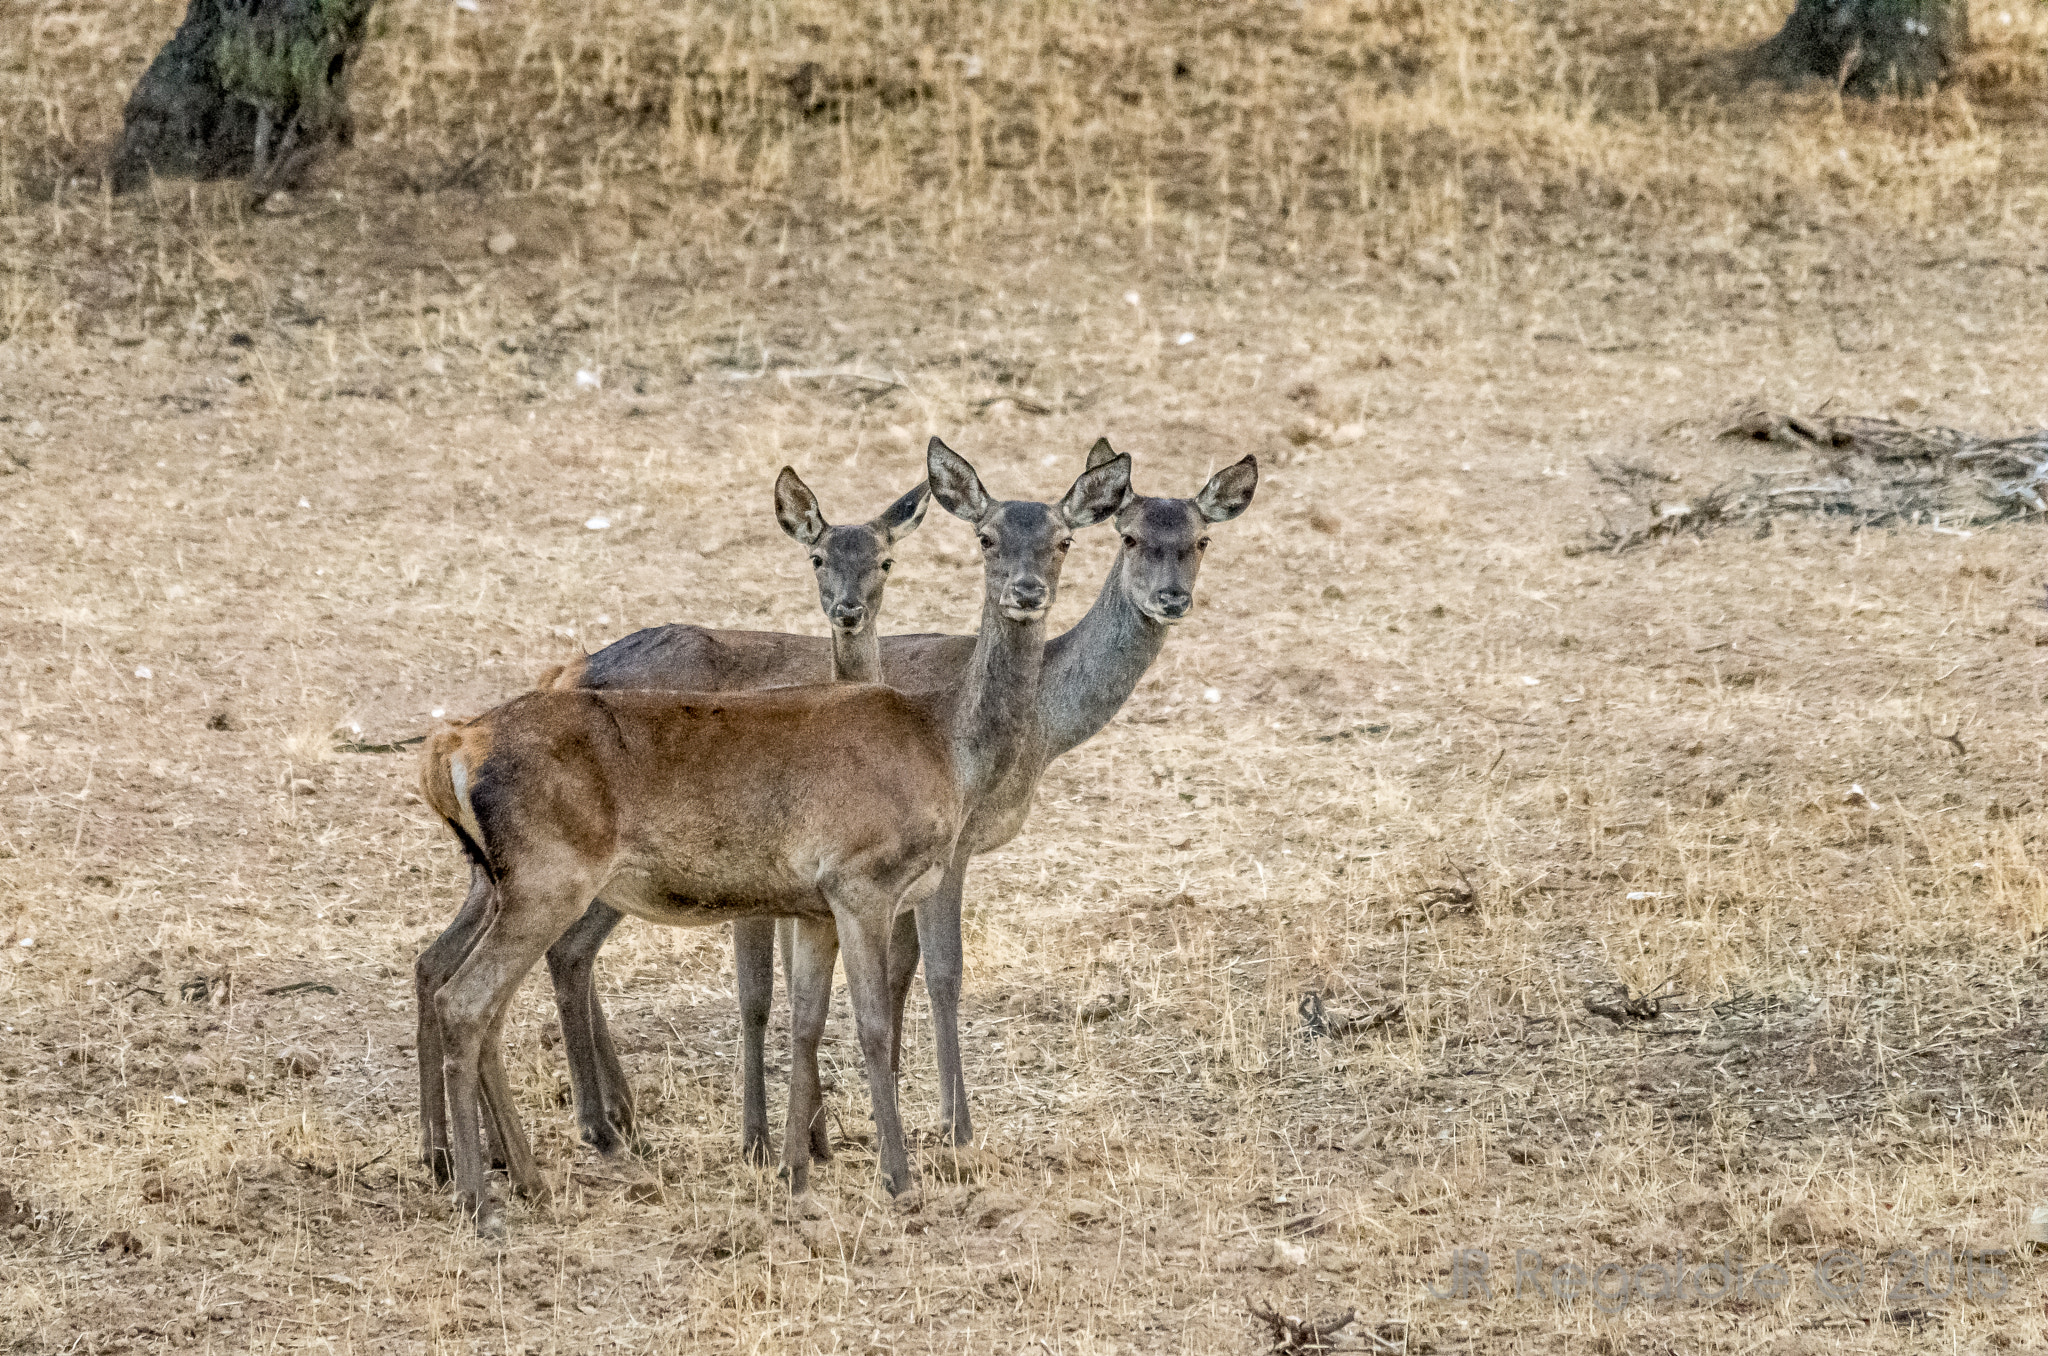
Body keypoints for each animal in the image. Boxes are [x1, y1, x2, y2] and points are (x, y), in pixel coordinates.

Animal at [407, 440, 1130, 1237]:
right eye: (987, 537)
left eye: (1063, 541)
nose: (1027, 592)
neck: (946, 749)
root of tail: (450, 745)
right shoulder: (861, 879)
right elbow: (872, 1021)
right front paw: (898, 1177)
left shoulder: (814, 903)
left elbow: (808, 1019)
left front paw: (796, 1172)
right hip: (548, 878)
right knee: (470, 1000)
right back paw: (483, 1200)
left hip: (510, 880)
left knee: (464, 988)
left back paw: (518, 1178)